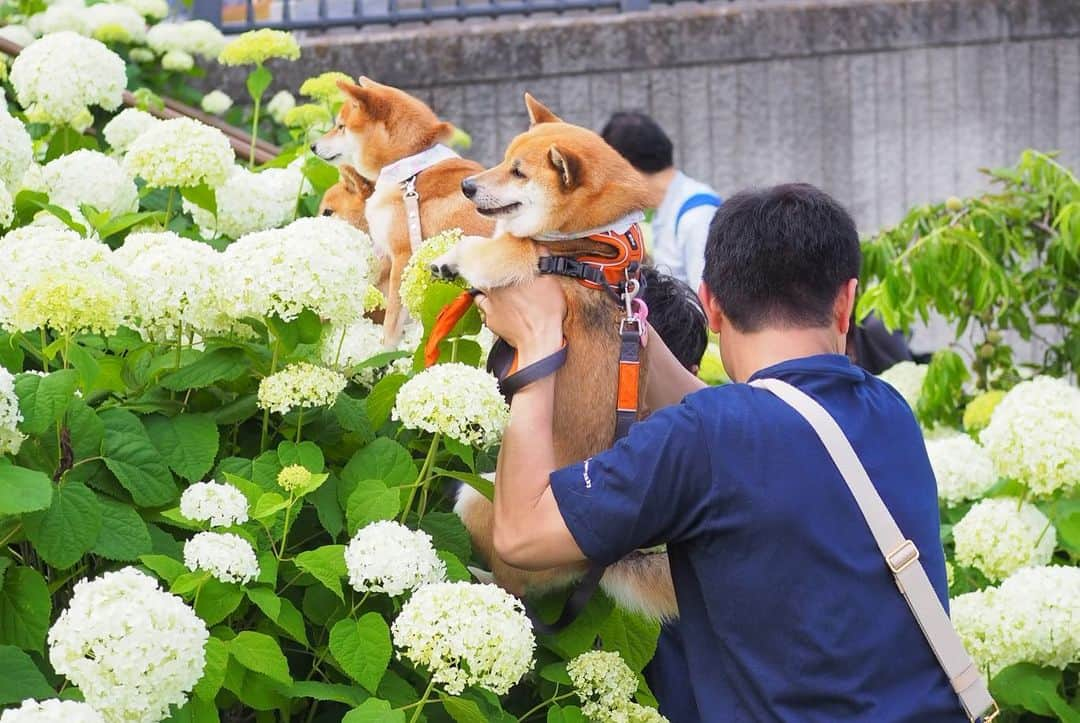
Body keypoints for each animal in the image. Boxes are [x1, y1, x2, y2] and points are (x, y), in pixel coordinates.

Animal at [313, 77, 494, 345]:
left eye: (341, 126)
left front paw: (385, 350)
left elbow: (391, 324)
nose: (312, 146)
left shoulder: (402, 257)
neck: (409, 172)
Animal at [436, 94, 673, 622]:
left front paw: (452, 257)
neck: (593, 242)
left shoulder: (523, 258)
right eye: (503, 159)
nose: (466, 185)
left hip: (477, 494)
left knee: (514, 589)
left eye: (519, 173)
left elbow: (487, 247)